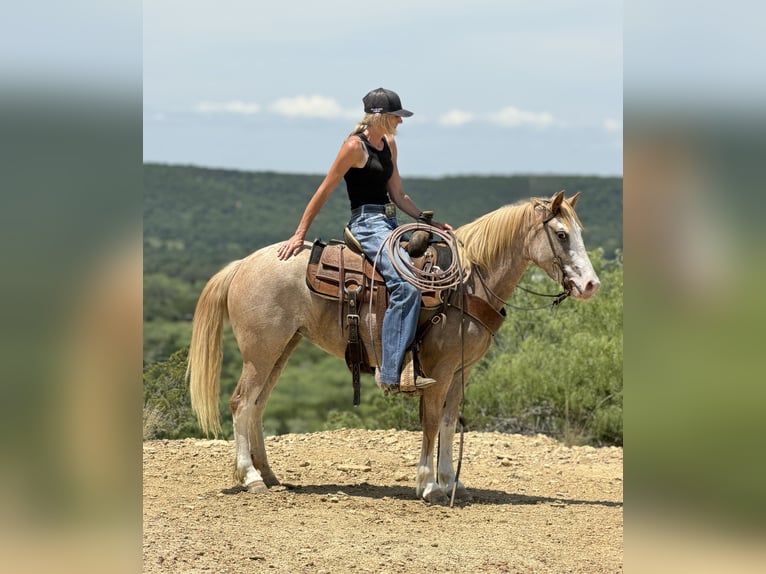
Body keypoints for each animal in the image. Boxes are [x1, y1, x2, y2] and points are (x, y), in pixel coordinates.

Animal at [187, 190, 600, 504]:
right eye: (561, 234)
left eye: (578, 231)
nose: (591, 285)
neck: (468, 284)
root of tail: (243, 264)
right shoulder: (438, 370)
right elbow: (431, 421)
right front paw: (429, 485)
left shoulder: (461, 371)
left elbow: (449, 422)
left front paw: (452, 481)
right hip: (261, 353)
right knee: (241, 403)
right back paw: (251, 477)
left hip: (282, 349)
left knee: (257, 406)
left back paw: (271, 476)